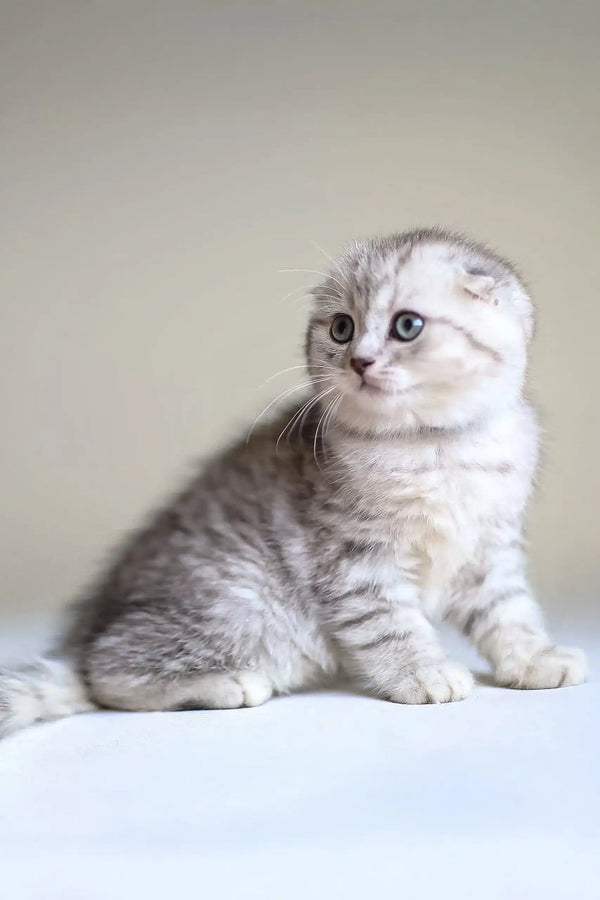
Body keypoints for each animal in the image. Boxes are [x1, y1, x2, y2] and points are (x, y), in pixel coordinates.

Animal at [0, 225, 588, 732]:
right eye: (341, 328)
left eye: (407, 325)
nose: (359, 361)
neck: (434, 448)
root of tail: (85, 630)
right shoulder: (354, 559)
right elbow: (390, 626)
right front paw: (423, 672)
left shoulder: (490, 548)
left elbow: (509, 612)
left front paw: (536, 659)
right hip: (243, 605)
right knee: (106, 673)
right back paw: (225, 684)